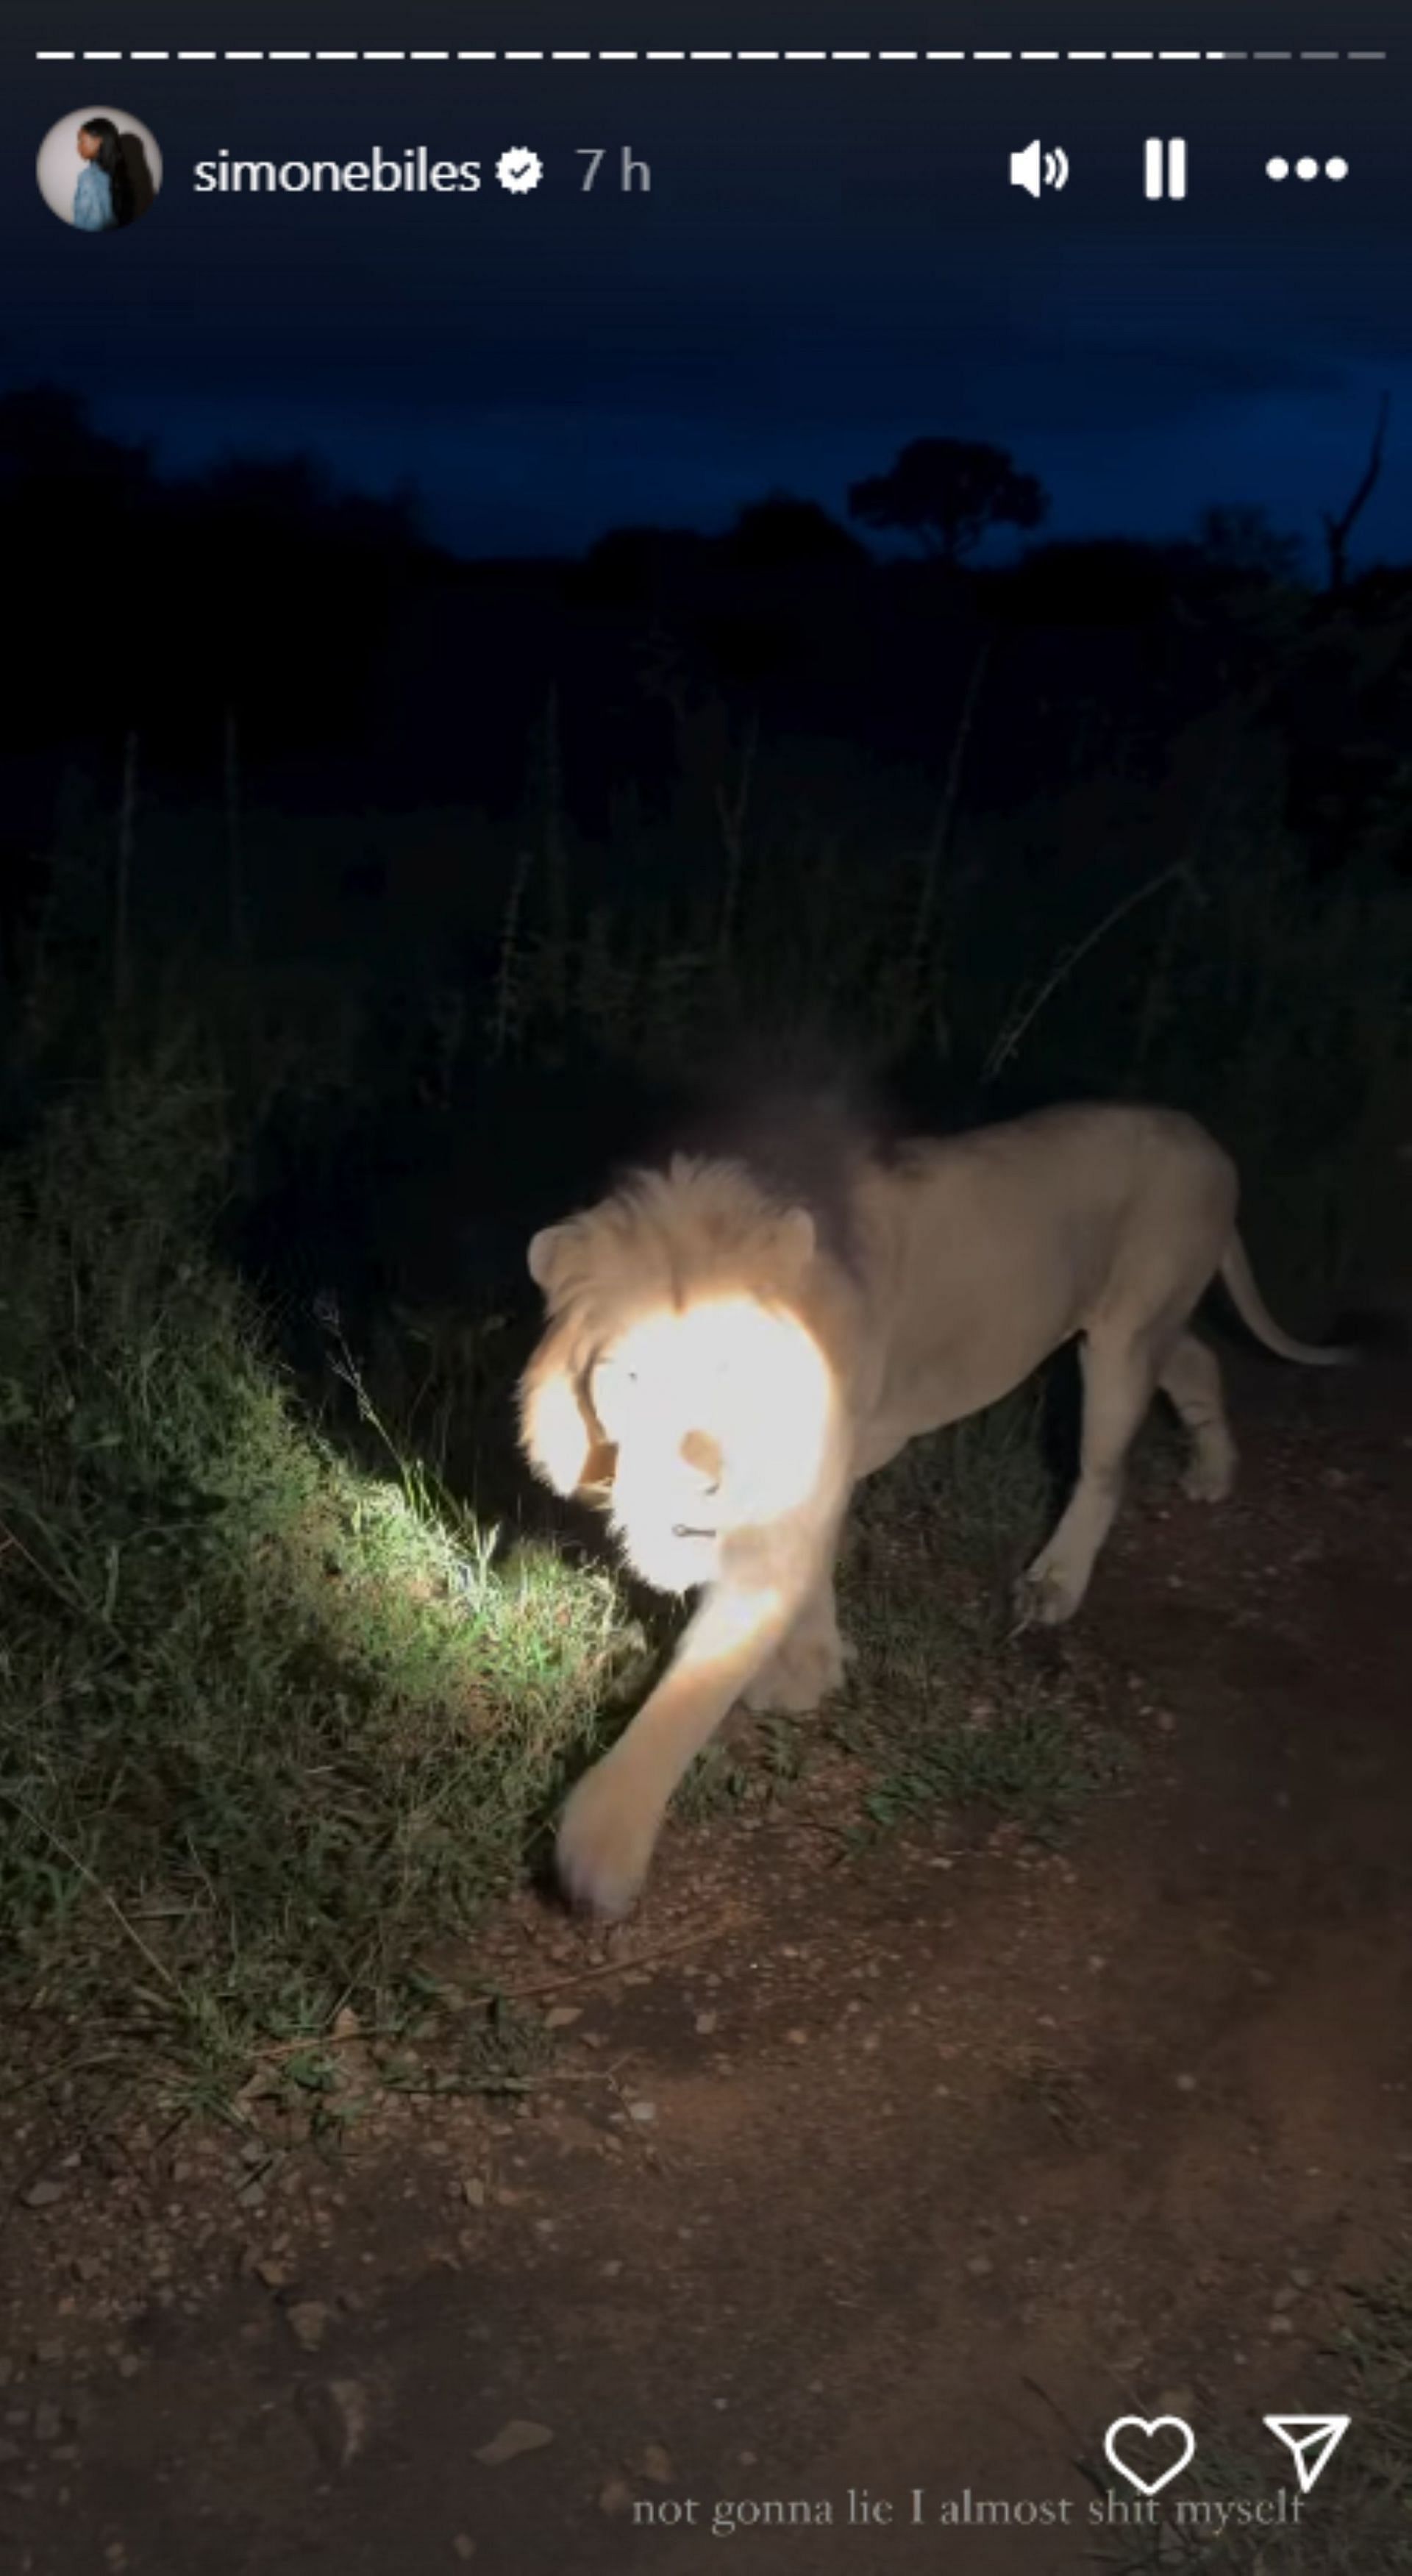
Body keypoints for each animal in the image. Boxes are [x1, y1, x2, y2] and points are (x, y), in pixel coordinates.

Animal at [518, 1097, 1349, 1926]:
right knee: (1200, 1361)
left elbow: (695, 1686)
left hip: (1125, 1337)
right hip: (1150, 1328)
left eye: (736, 1368)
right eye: (631, 1377)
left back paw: (1056, 1581)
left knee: (1104, 1470)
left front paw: (602, 1846)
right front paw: (815, 1669)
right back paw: (1213, 1469)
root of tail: (1204, 1139)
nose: (706, 1482)